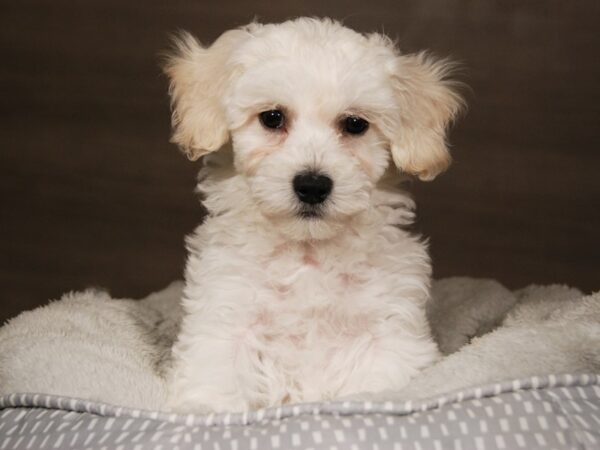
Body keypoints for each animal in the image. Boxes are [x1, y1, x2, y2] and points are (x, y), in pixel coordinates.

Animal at [164, 17, 464, 414]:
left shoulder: (387, 336)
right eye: (272, 118)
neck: (309, 254)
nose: (312, 185)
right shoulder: (225, 320)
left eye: (355, 124)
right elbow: (216, 385)